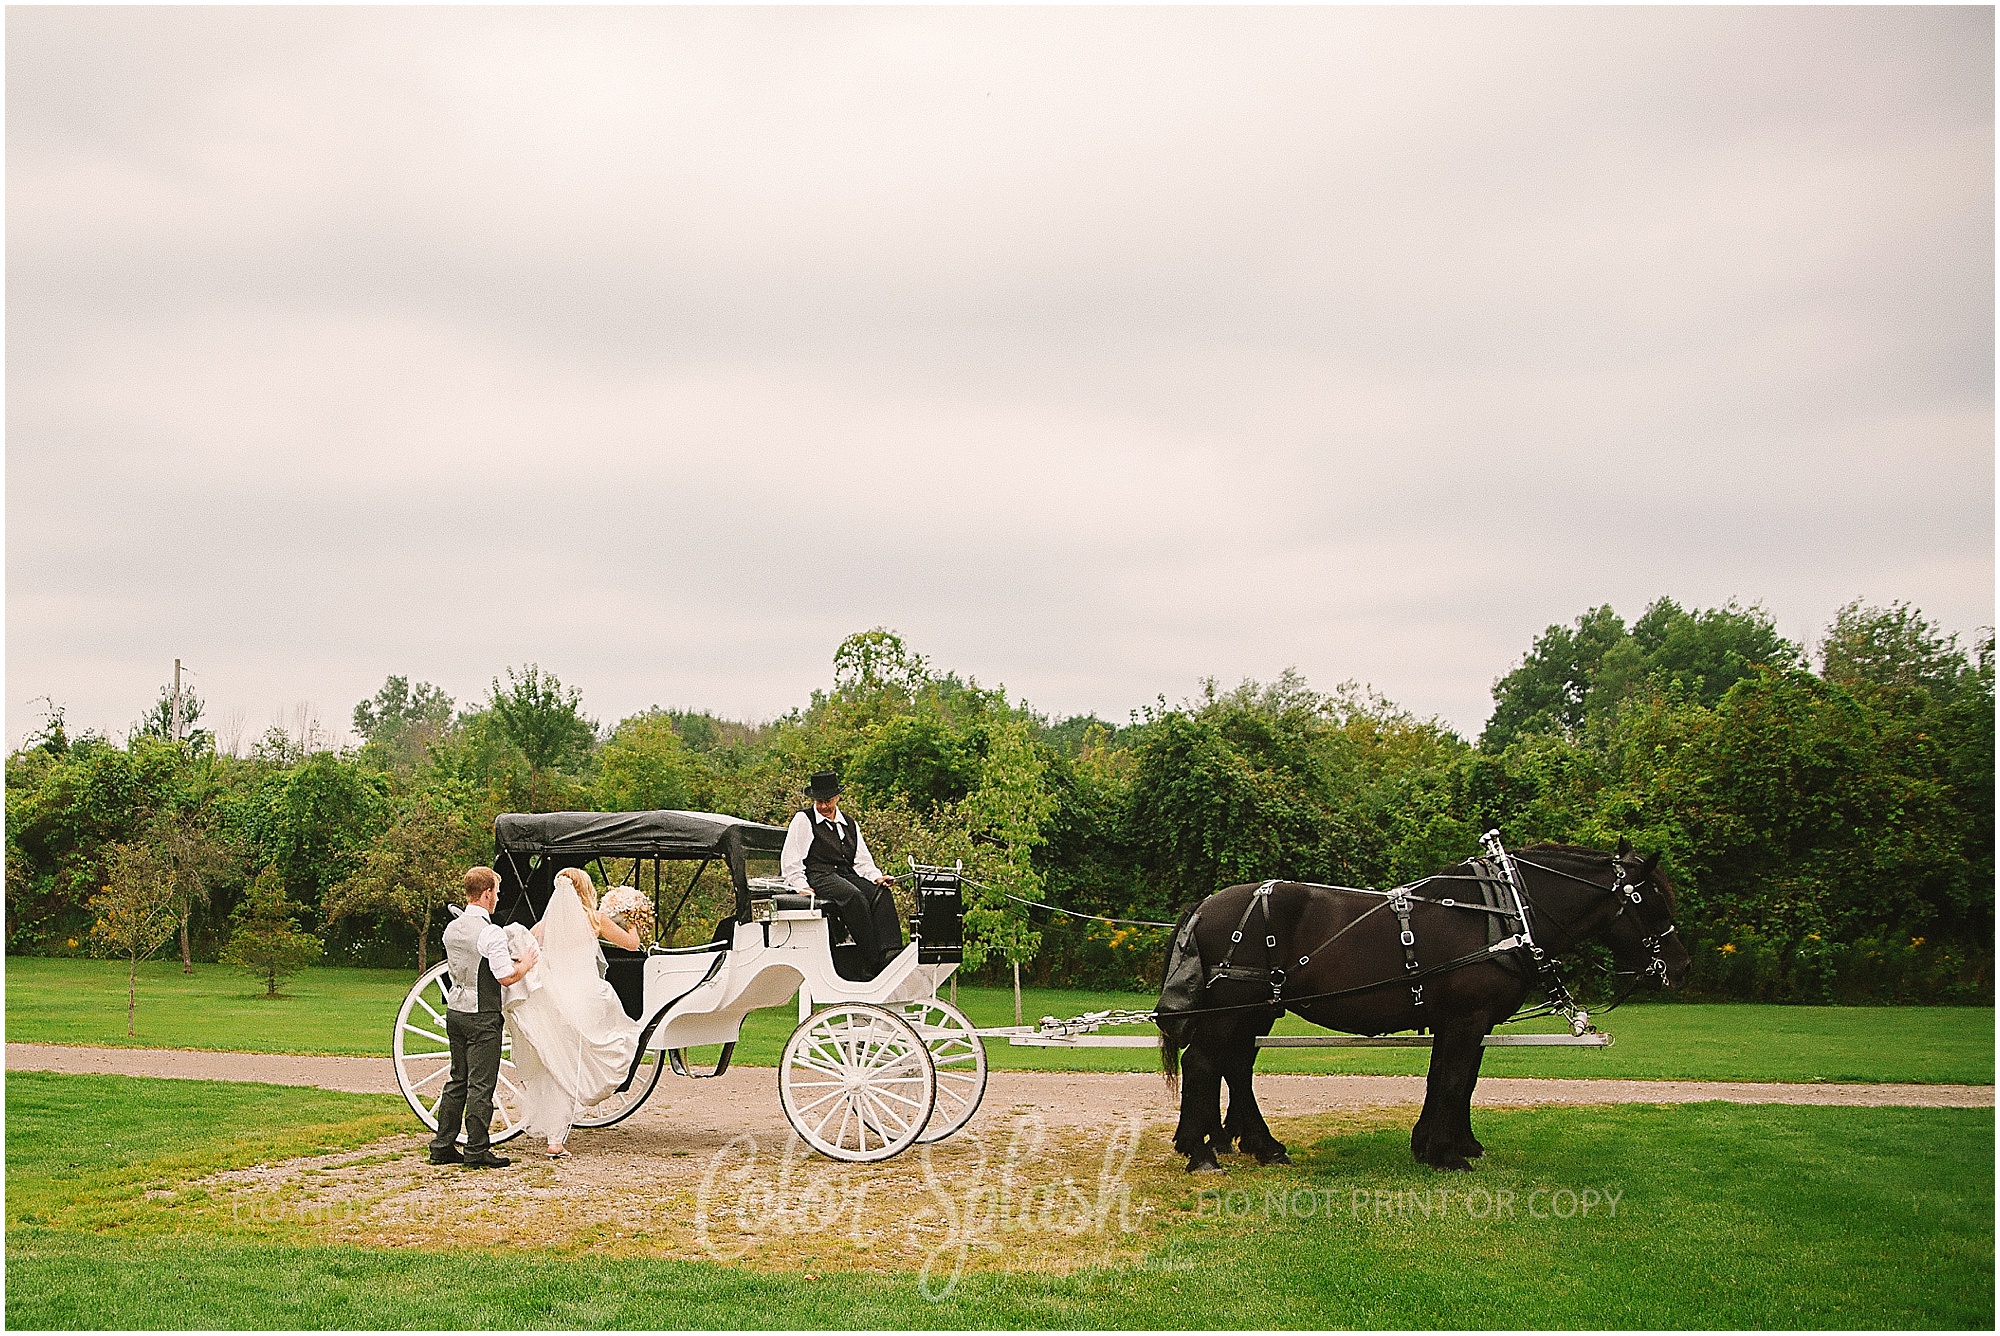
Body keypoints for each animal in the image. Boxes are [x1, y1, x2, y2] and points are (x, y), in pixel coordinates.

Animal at [1160, 844, 1688, 1168]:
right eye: (1652, 902)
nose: (1680, 967)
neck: (1502, 913)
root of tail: (1207, 903)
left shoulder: (1472, 1023)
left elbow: (1460, 1081)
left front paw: (1454, 1144)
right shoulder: (1465, 1019)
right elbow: (1450, 1079)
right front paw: (1443, 1152)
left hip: (1255, 1012)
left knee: (1235, 1067)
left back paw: (1258, 1145)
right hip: (1232, 1010)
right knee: (1204, 1063)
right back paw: (1202, 1155)